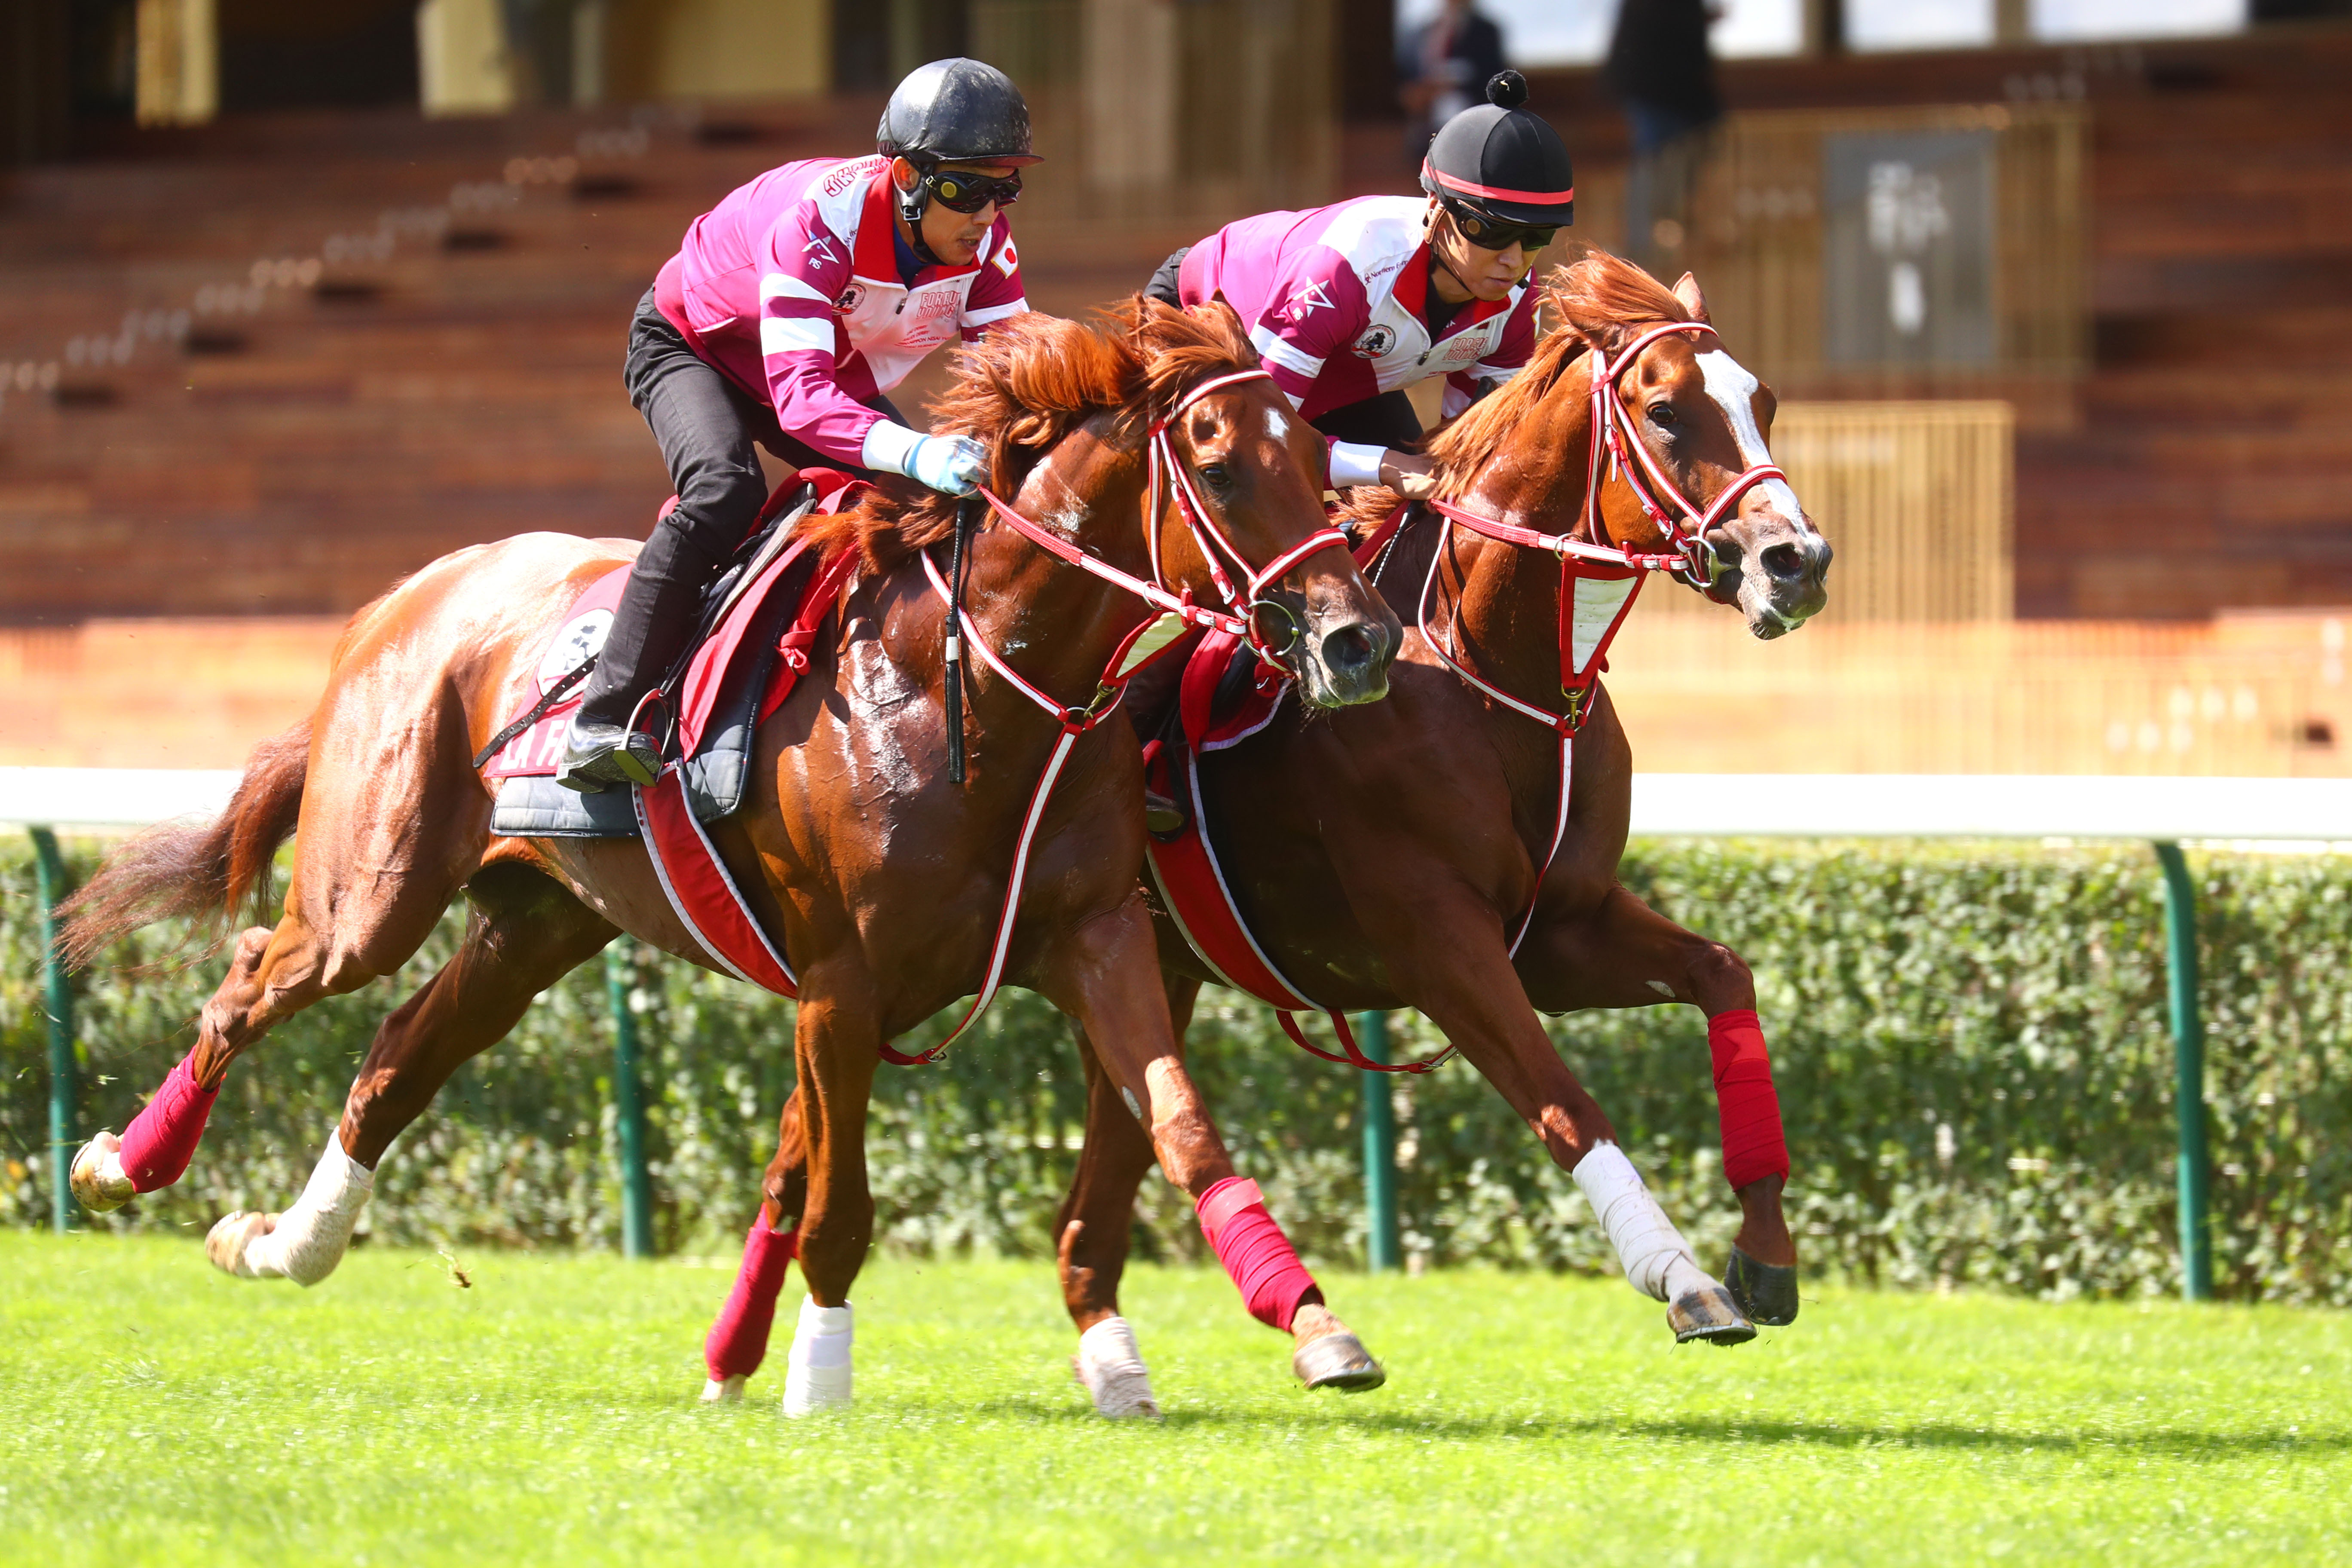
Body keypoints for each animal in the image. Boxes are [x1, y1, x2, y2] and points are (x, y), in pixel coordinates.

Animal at [59, 301, 1411, 1401]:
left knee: (395, 1060)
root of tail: (402, 599)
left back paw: (281, 1243)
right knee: (253, 980)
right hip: (370, 892)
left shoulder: (1097, 933)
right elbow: (839, 1208)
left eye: (1316, 460)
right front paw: (818, 1376)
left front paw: (1315, 1328)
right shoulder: (841, 984)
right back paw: (122, 1167)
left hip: (538, 919)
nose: (1355, 641)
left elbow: (1182, 1126)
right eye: (1222, 469)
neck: (975, 692)